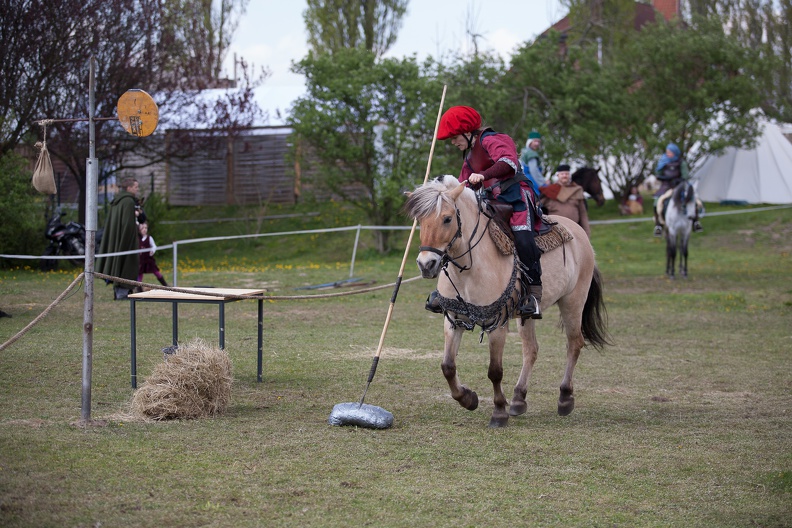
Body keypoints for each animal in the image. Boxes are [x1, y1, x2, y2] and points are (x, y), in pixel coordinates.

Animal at [406, 175, 608, 426]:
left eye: (447, 218)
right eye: (420, 220)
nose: (426, 265)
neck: (470, 267)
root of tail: (581, 234)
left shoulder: (497, 324)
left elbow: (495, 371)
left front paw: (499, 411)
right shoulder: (453, 319)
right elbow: (447, 366)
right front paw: (468, 399)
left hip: (573, 302)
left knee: (574, 344)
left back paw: (564, 397)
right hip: (527, 314)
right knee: (531, 350)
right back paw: (519, 398)